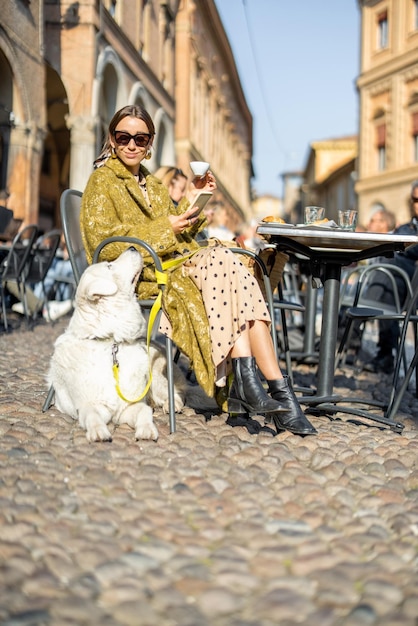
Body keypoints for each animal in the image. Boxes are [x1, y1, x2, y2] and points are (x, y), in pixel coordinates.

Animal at [47, 246, 186, 442]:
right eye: (110, 266)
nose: (132, 247)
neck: (110, 340)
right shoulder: (91, 405)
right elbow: (91, 415)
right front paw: (98, 432)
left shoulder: (129, 406)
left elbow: (144, 411)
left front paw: (147, 429)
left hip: (157, 373)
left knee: (174, 393)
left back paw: (171, 406)